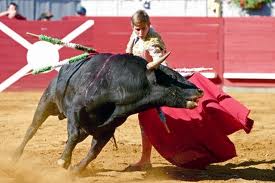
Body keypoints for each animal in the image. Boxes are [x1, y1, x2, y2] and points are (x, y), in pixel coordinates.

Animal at [14, 53, 204, 173]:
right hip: (46, 102)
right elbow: (74, 135)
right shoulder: (75, 110)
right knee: (32, 129)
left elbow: (93, 152)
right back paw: (16, 155)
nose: (200, 91)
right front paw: (63, 161)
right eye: (174, 79)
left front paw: (75, 169)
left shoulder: (107, 130)